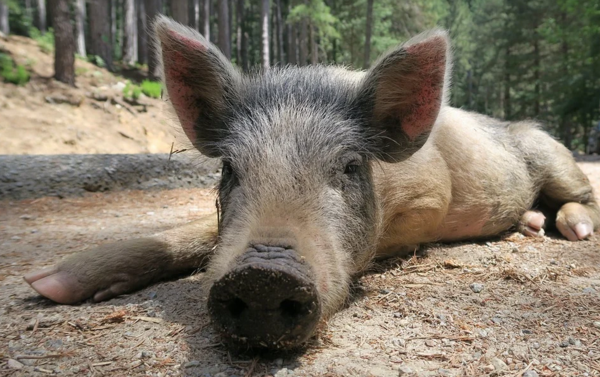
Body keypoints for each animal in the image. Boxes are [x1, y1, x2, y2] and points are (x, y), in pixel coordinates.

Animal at [23, 15, 600, 350]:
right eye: (229, 168)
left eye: (349, 167)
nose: (262, 276)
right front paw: (45, 286)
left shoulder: (431, 199)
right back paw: (530, 225)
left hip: (552, 153)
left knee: (581, 195)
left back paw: (572, 231)